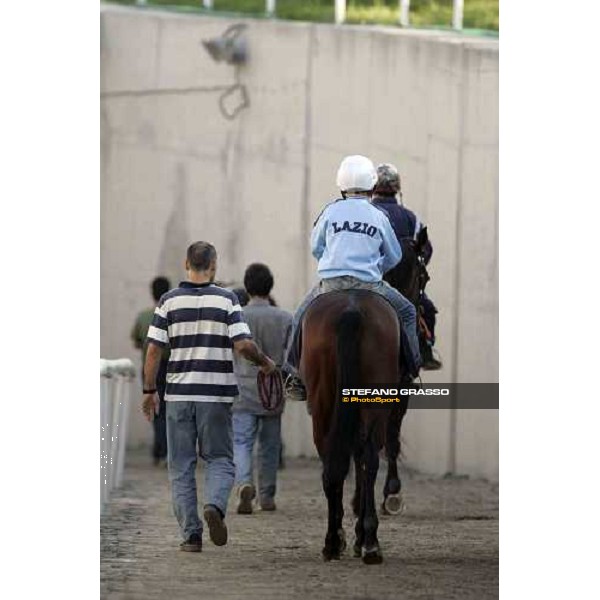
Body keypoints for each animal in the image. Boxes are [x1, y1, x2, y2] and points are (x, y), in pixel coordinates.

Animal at [302, 290, 400, 564]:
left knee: (332, 465)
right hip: (373, 402)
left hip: (322, 404)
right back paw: (370, 543)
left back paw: (334, 541)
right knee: (368, 459)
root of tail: (351, 310)